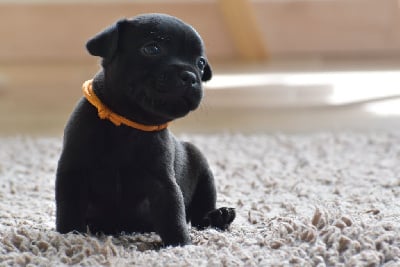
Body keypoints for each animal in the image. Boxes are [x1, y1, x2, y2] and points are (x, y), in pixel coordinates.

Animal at [56, 12, 238, 247]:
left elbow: (173, 212)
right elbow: (69, 207)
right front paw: (70, 236)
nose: (190, 76)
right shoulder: (73, 173)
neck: (126, 122)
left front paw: (180, 245)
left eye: (200, 63)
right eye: (152, 49)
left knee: (199, 214)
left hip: (202, 168)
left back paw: (218, 216)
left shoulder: (162, 182)